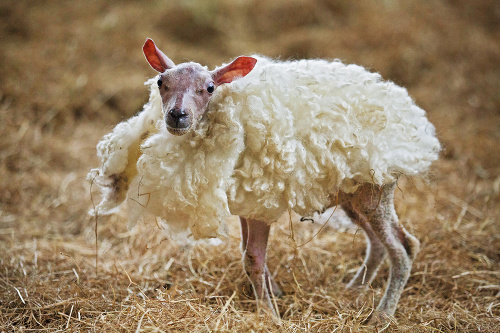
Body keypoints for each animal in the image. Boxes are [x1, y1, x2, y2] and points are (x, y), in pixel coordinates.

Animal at [88, 38, 440, 322]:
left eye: (210, 88)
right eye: (161, 81)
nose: (177, 115)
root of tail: (413, 123)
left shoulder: (261, 199)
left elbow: (253, 259)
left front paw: (269, 314)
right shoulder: (247, 201)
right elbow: (247, 252)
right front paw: (272, 295)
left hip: (374, 188)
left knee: (402, 248)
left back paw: (382, 314)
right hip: (354, 194)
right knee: (384, 244)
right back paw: (353, 291)